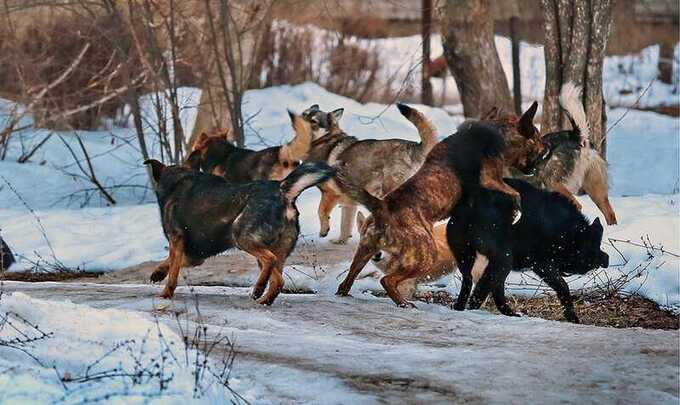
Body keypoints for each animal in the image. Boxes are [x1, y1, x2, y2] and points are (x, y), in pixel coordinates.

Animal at [300, 104, 438, 243]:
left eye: (313, 121)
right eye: (303, 114)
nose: (297, 121)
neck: (325, 140)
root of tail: (415, 147)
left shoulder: (330, 193)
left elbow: (321, 211)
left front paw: (324, 231)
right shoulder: (349, 203)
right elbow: (345, 225)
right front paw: (341, 241)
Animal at [332, 104, 544, 306]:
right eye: (537, 139)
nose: (546, 148)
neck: (498, 132)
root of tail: (382, 206)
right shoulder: (491, 179)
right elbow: (515, 193)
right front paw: (517, 211)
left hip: (365, 251)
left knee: (347, 281)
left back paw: (347, 292)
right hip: (426, 255)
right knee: (388, 280)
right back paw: (404, 303)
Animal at [446, 177, 612, 322]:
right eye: (594, 245)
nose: (607, 259)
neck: (567, 232)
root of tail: (470, 205)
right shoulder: (542, 264)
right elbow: (563, 286)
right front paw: (573, 318)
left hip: (466, 256)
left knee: (473, 282)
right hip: (503, 259)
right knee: (485, 287)